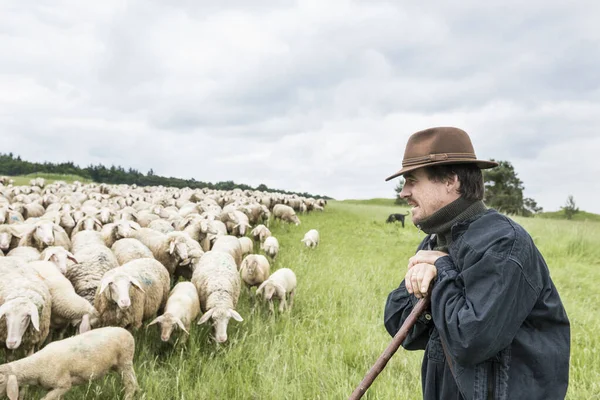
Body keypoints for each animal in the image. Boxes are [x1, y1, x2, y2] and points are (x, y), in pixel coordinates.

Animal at [0, 328, 138, 400]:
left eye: (1, 381)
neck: (37, 366)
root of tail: (127, 332)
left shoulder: (64, 384)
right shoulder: (55, 388)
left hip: (125, 361)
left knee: (130, 384)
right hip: (121, 364)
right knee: (134, 381)